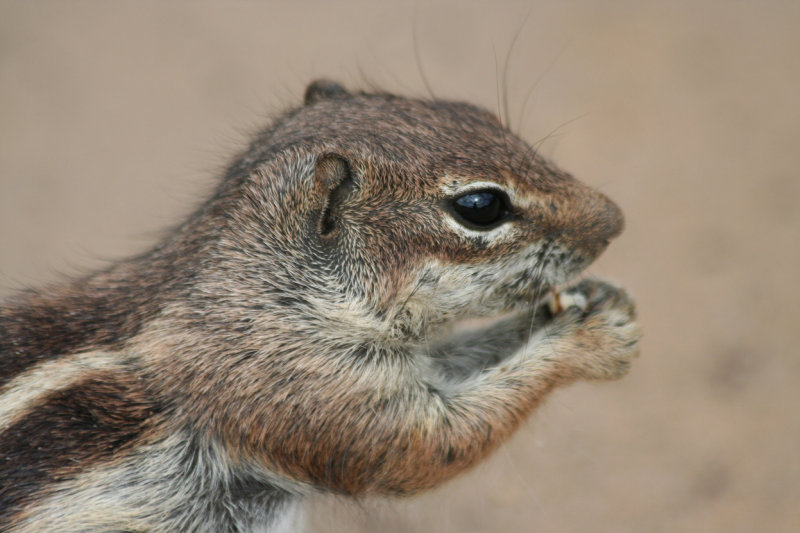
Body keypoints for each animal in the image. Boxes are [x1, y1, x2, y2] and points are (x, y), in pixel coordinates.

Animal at [0, 80, 636, 532]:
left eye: (473, 111)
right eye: (480, 206)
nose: (615, 219)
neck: (264, 291)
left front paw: (596, 304)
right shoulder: (302, 390)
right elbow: (427, 446)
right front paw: (592, 339)